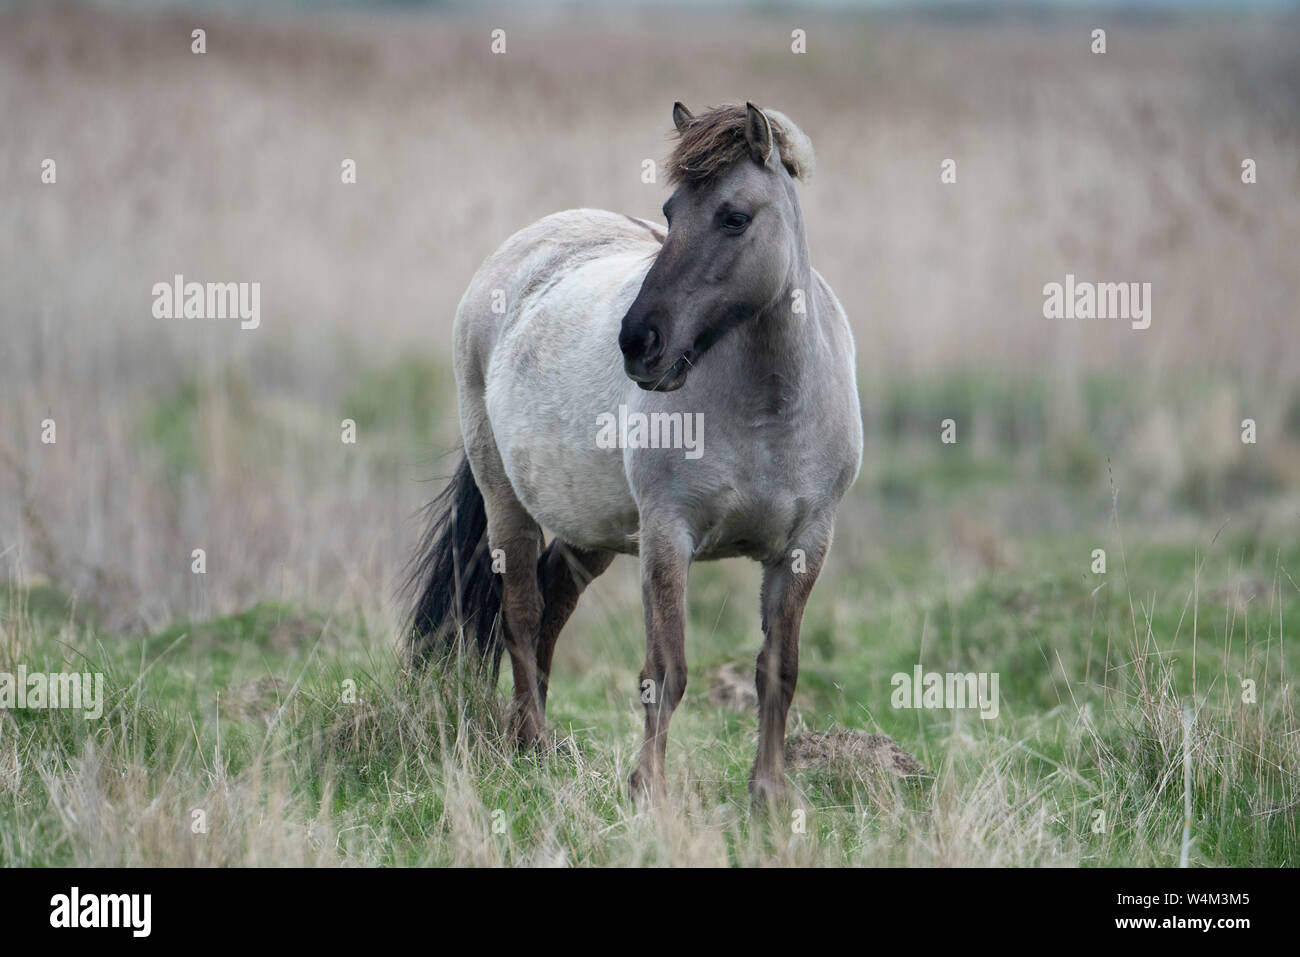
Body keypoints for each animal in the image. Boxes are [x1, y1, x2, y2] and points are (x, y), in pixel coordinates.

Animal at [407, 102, 862, 801]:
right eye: (670, 212)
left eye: (734, 217)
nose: (639, 341)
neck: (770, 410)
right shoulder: (668, 534)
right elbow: (665, 670)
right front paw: (647, 787)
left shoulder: (805, 545)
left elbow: (778, 671)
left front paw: (768, 793)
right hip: (507, 502)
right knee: (522, 612)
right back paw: (529, 743)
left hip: (592, 526)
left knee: (553, 603)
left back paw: (534, 740)